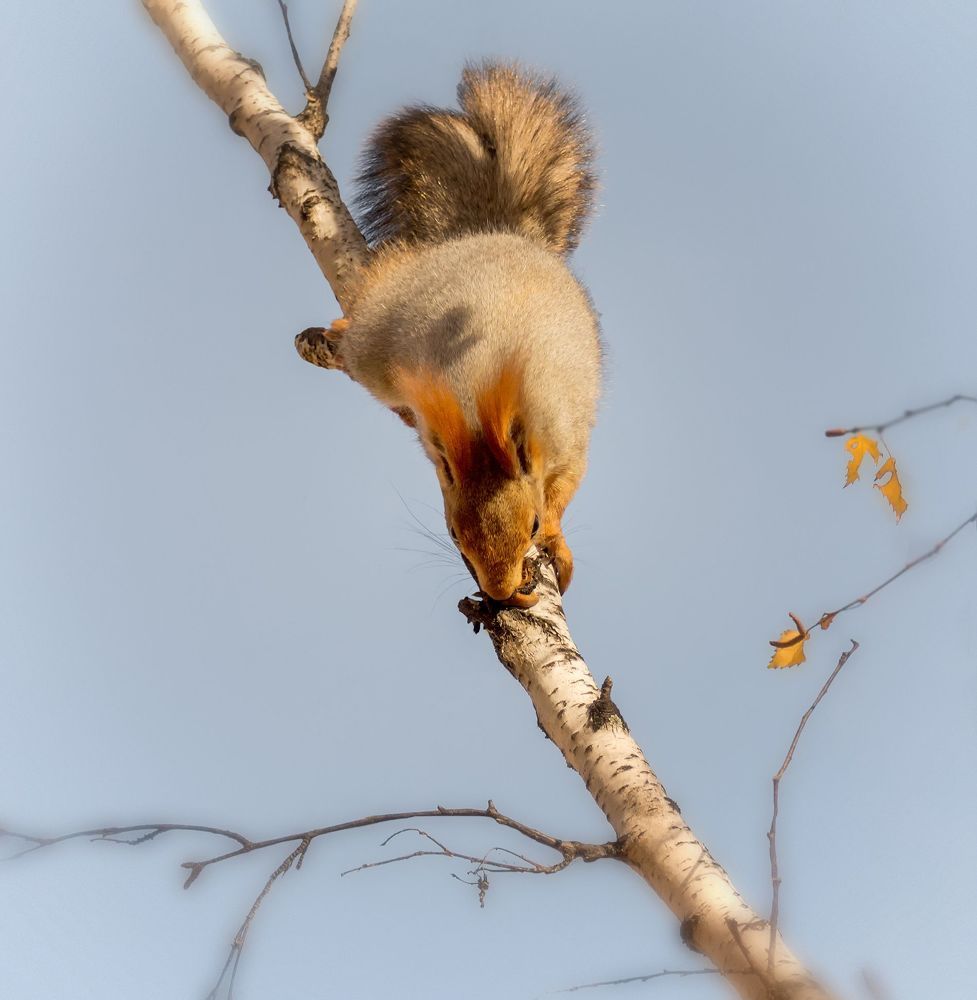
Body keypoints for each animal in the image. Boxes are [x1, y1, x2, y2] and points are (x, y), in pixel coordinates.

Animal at [331, 62, 601, 608]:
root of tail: (493, 232)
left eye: (532, 523)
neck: (480, 411)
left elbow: (566, 488)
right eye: (454, 535)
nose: (500, 593)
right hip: (379, 345)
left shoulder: (565, 434)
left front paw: (557, 540)